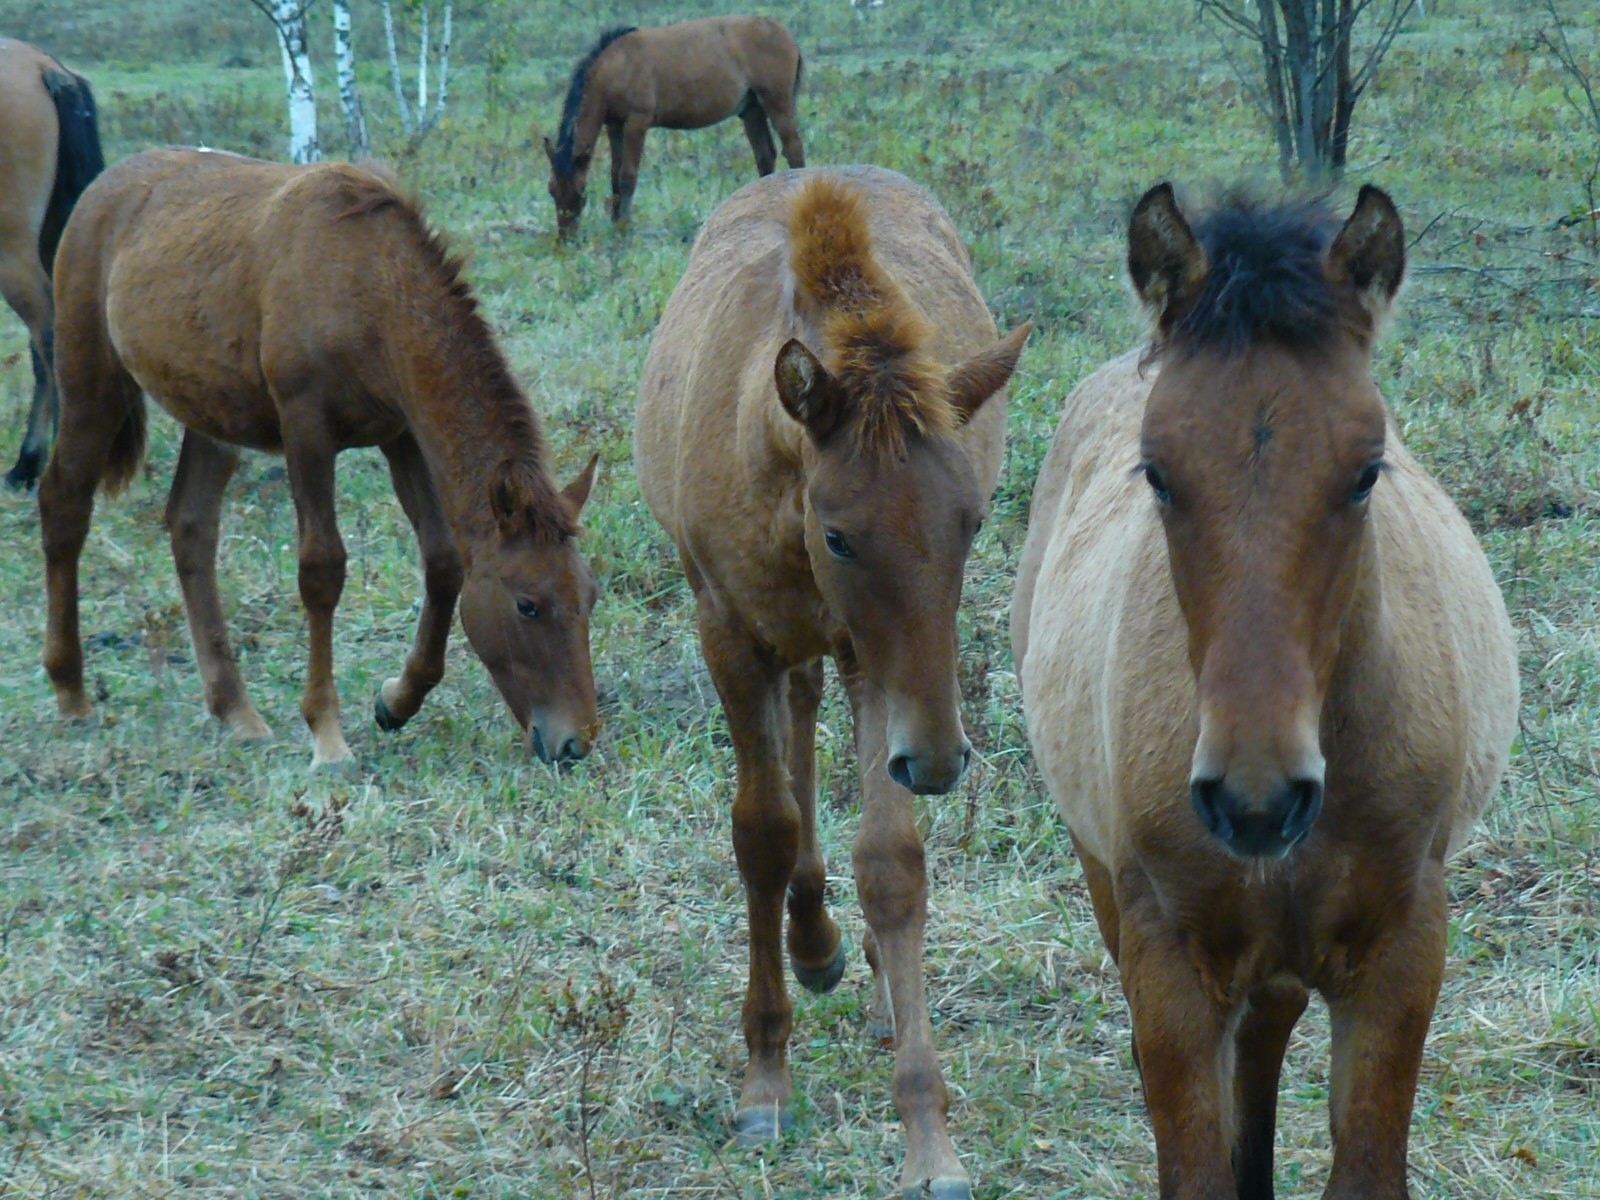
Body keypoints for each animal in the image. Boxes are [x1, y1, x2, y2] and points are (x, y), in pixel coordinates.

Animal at [46, 150, 604, 771]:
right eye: (527, 605)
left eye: (590, 595)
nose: (575, 741)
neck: (366, 285)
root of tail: (103, 185)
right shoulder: (306, 429)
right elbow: (321, 571)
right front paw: (327, 735)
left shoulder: (402, 433)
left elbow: (442, 563)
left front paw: (398, 700)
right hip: (91, 382)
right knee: (63, 504)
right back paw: (70, 690)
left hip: (211, 416)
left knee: (191, 527)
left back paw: (236, 710)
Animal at [544, 15, 806, 236]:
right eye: (551, 190)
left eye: (581, 192)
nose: (566, 238)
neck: (615, 68)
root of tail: (786, 35)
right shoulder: (614, 125)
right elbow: (614, 176)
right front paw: (616, 225)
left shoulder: (637, 122)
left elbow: (627, 177)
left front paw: (625, 229)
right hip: (751, 110)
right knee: (765, 155)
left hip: (777, 103)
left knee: (793, 148)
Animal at [630, 169, 1030, 1200]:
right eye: (842, 534)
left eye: (972, 521)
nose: (941, 761)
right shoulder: (729, 635)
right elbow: (762, 835)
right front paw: (764, 1080)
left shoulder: (876, 660)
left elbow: (891, 863)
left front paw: (928, 1136)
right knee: (793, 753)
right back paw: (812, 945)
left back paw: (861, 970)